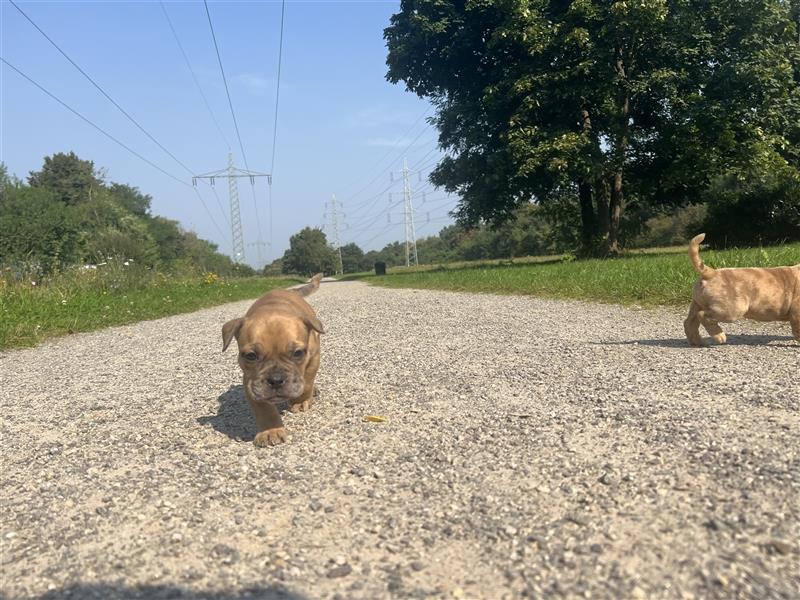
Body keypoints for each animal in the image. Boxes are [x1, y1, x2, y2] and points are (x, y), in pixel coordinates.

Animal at [220, 274, 324, 448]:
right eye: (251, 356)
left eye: (297, 353)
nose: (276, 380)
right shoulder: (251, 382)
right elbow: (263, 408)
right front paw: (270, 431)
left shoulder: (314, 357)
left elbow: (307, 382)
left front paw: (300, 401)